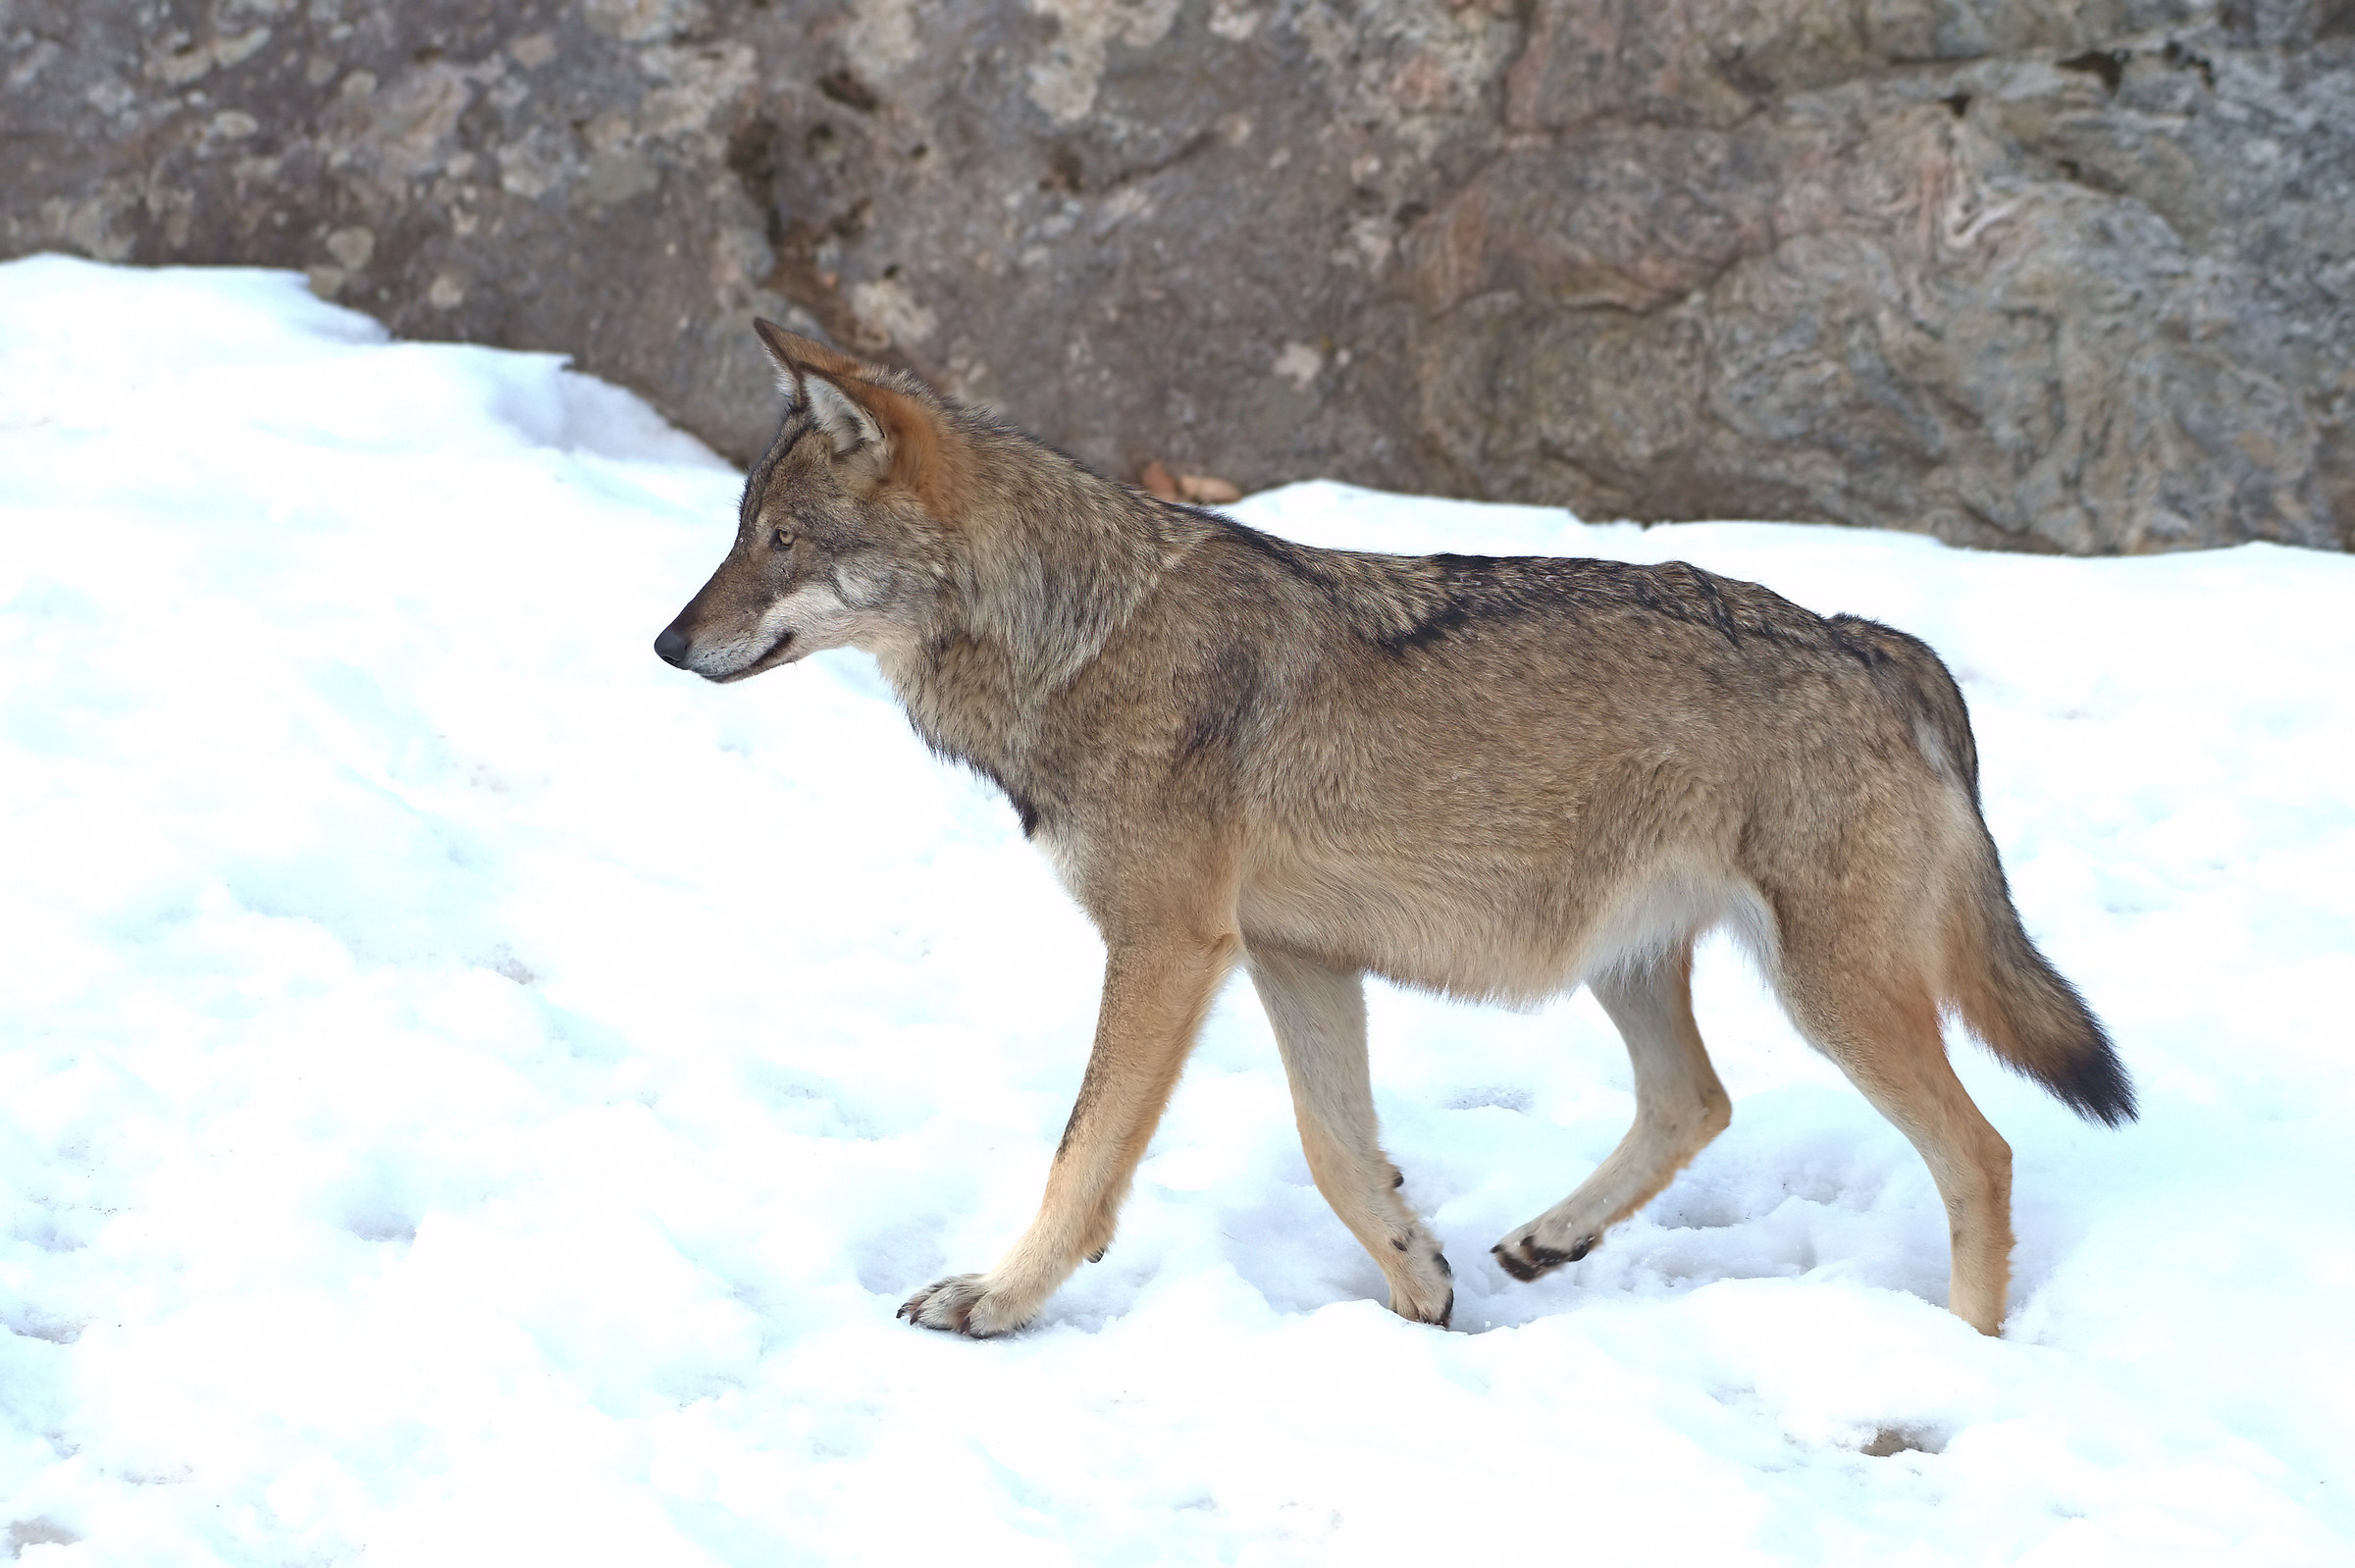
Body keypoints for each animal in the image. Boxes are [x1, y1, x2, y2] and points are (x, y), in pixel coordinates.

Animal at [654, 321, 2135, 1339]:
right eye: (737, 531)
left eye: (779, 542)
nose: (667, 644)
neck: (1078, 634)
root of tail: (1872, 639)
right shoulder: (1292, 956)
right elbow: (1333, 1147)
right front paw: (1419, 1280)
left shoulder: (1167, 946)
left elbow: (1083, 1156)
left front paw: (998, 1300)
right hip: (1636, 964)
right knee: (1697, 1099)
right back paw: (1545, 1242)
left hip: (1829, 990)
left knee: (1979, 1152)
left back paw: (1962, 1353)